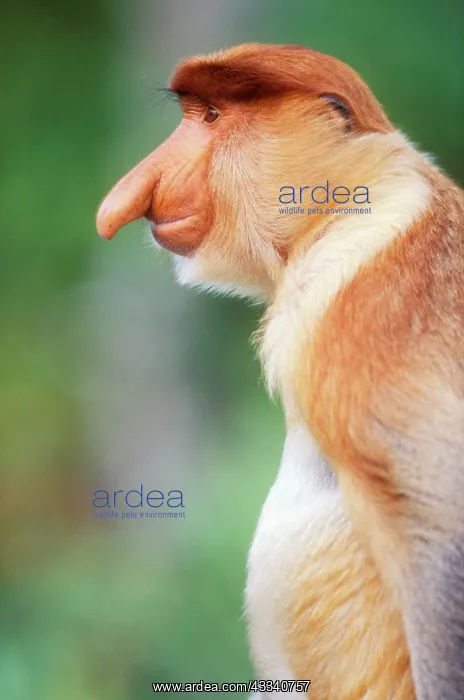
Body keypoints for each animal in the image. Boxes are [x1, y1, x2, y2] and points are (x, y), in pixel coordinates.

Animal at [96, 43, 464, 700]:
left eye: (213, 116)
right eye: (195, 113)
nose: (136, 191)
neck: (354, 199)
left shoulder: (360, 295)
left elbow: (440, 510)